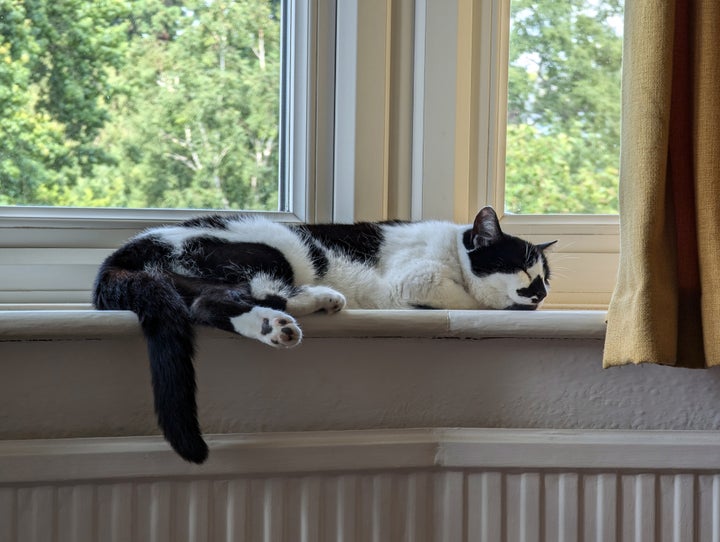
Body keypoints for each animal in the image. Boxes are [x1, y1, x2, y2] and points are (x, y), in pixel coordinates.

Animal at [93, 206, 556, 466]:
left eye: (546, 275)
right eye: (521, 266)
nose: (542, 292)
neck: (452, 252)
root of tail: (119, 255)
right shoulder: (412, 282)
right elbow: (466, 298)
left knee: (209, 303)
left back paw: (297, 314)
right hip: (269, 248)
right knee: (246, 293)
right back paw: (301, 310)